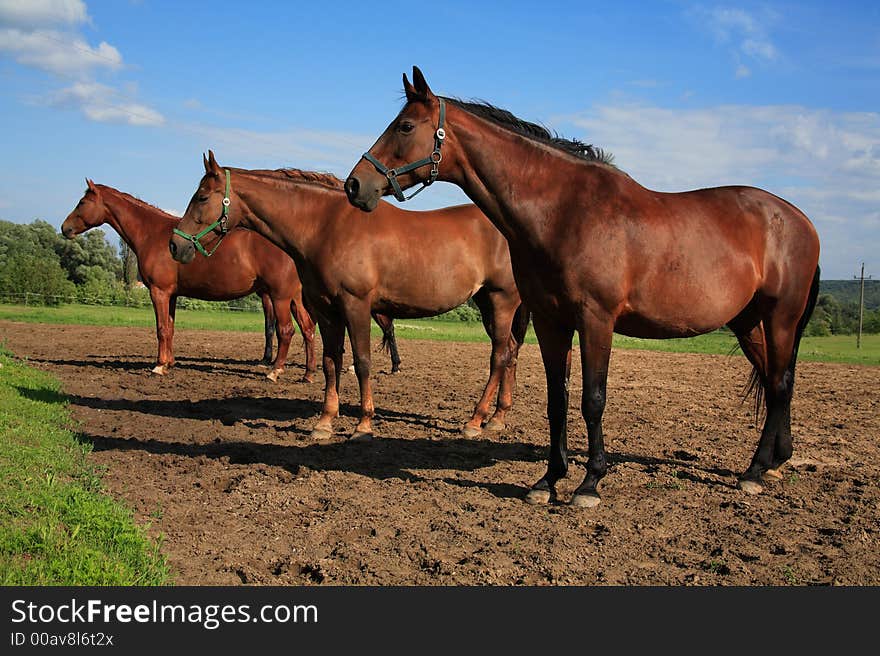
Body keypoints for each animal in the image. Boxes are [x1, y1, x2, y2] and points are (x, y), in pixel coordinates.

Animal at [60, 183, 332, 380]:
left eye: (82, 202)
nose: (65, 228)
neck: (152, 233)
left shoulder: (159, 291)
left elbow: (161, 329)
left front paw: (159, 367)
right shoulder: (171, 294)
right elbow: (170, 328)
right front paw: (169, 363)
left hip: (280, 297)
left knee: (286, 331)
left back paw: (275, 371)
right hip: (294, 298)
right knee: (308, 329)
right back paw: (308, 374)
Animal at [170, 152, 528, 440]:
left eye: (202, 197)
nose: (176, 245)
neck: (325, 226)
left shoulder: (356, 306)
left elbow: (362, 362)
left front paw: (364, 425)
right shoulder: (327, 311)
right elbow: (332, 363)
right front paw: (325, 422)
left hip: (502, 301)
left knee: (499, 356)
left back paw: (475, 421)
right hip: (487, 303)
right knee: (510, 351)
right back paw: (497, 418)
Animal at [342, 68, 820, 508]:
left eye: (405, 126)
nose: (355, 185)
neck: (564, 210)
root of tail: (798, 219)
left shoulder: (596, 319)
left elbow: (592, 399)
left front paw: (589, 482)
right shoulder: (552, 321)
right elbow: (558, 399)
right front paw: (548, 480)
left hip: (780, 317)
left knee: (779, 385)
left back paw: (754, 472)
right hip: (749, 323)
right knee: (777, 381)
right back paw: (776, 462)